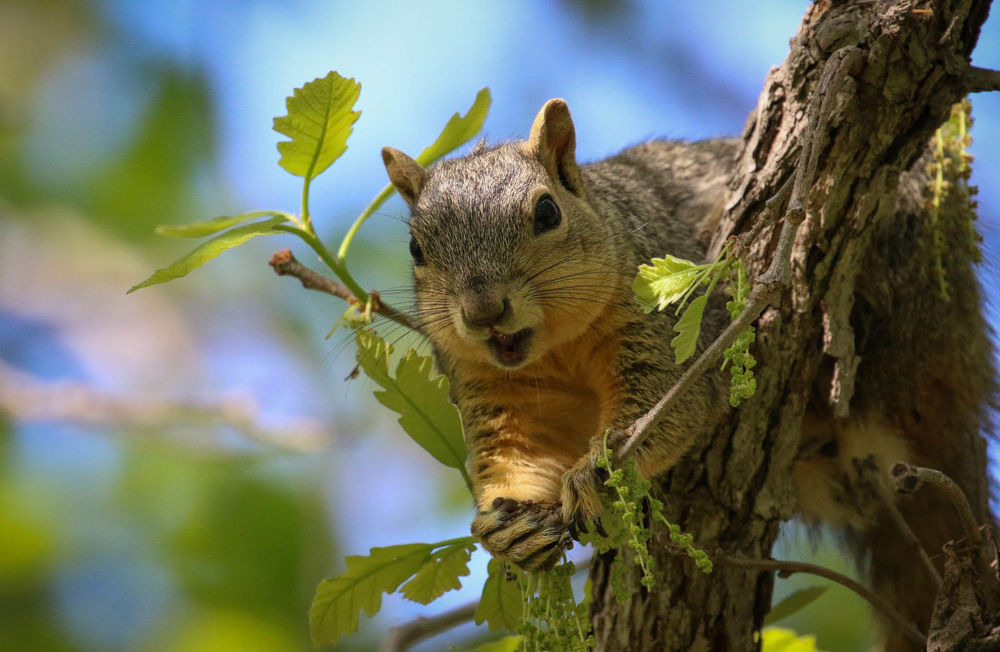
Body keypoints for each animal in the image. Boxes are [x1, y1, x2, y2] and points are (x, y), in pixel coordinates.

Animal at [381, 99, 994, 649]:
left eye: (547, 213)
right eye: (415, 247)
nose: (483, 312)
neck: (553, 350)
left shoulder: (659, 323)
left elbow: (673, 403)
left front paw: (600, 472)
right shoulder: (491, 389)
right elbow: (515, 455)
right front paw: (508, 527)